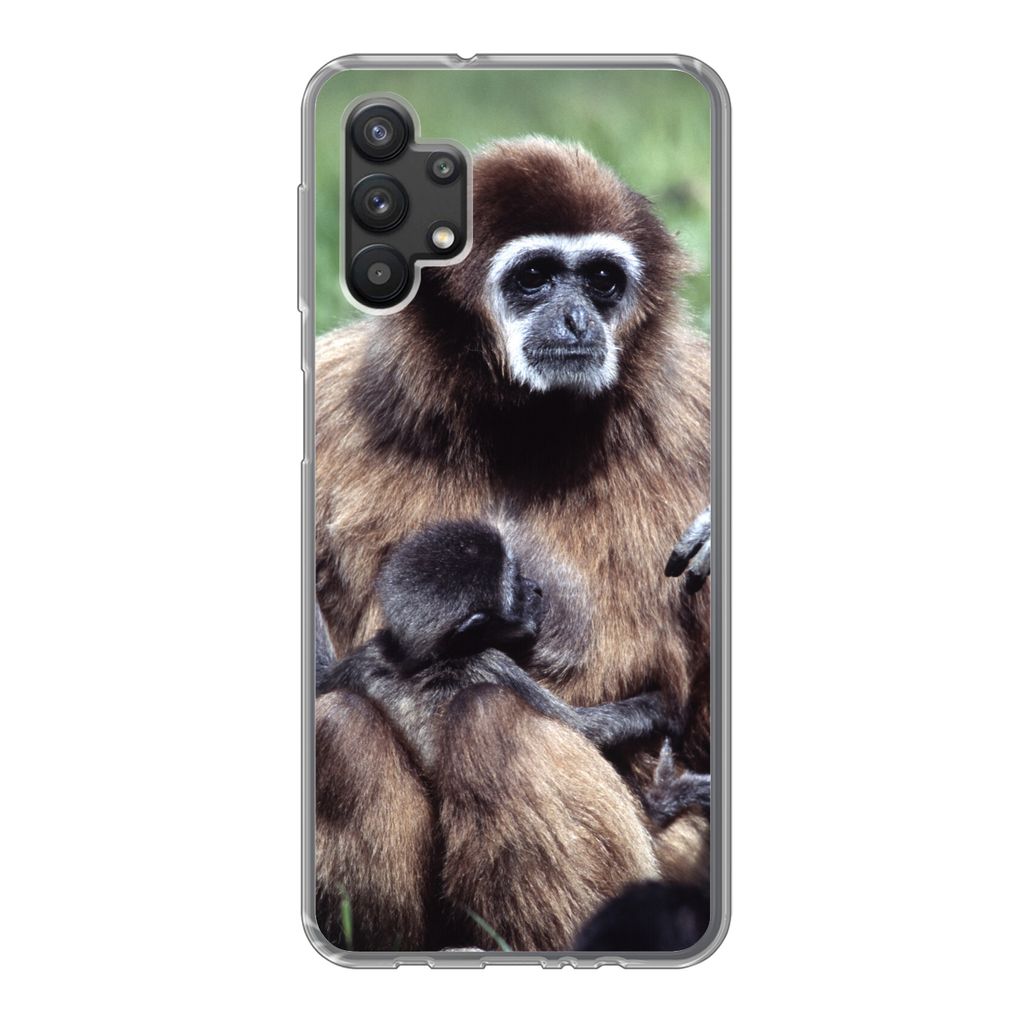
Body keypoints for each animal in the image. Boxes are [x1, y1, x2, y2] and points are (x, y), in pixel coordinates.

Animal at [314, 137, 712, 949]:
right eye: (534, 278)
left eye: (601, 280)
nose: (576, 318)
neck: (521, 431)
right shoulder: (329, 396)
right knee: (340, 728)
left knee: (493, 722)